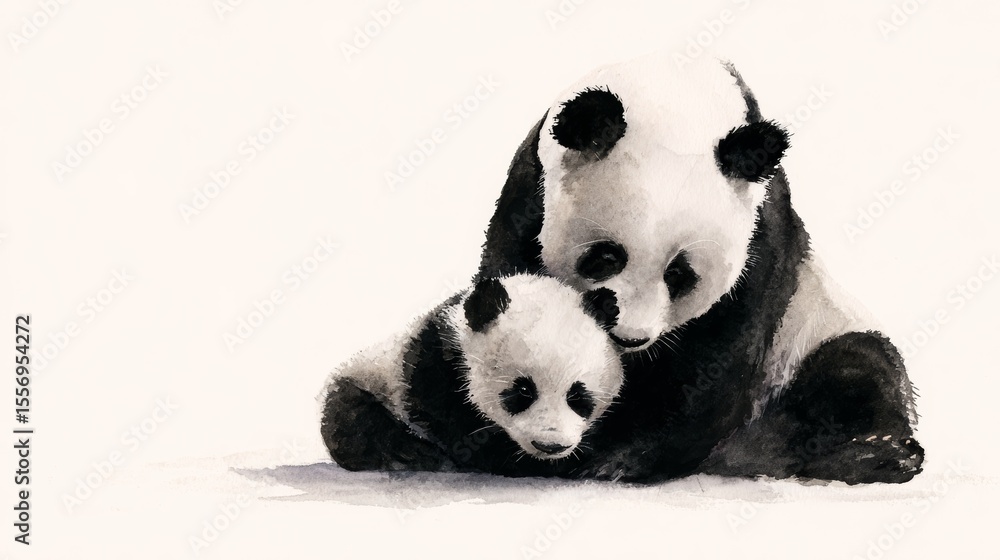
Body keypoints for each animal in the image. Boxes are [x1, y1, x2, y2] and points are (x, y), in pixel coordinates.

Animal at [319, 274, 625, 475]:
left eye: (578, 396)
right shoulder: (439, 372)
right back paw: (410, 454)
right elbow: (467, 440)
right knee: (353, 419)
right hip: (371, 376)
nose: (550, 446)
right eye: (522, 391)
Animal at [476, 52, 923, 484]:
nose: (631, 337)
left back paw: (875, 453)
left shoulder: (762, 232)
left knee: (856, 372)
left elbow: (718, 356)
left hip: (812, 331)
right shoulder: (528, 194)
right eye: (605, 258)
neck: (674, 96)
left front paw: (622, 459)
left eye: (680, 275)